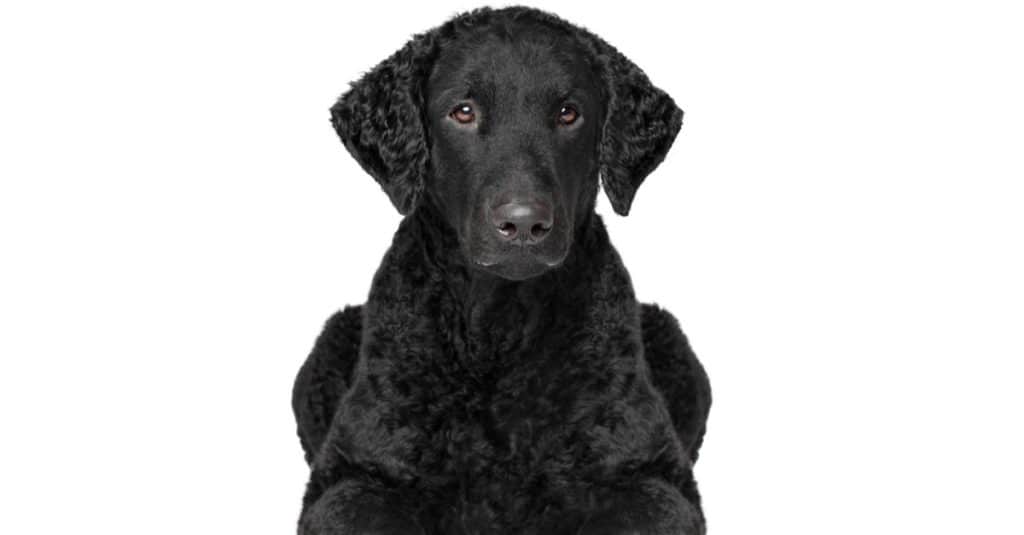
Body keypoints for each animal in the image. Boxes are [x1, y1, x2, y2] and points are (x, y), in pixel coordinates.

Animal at [294, 5, 712, 532]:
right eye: (463, 111)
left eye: (568, 113)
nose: (523, 222)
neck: (500, 331)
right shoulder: (351, 478)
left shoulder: (652, 479)